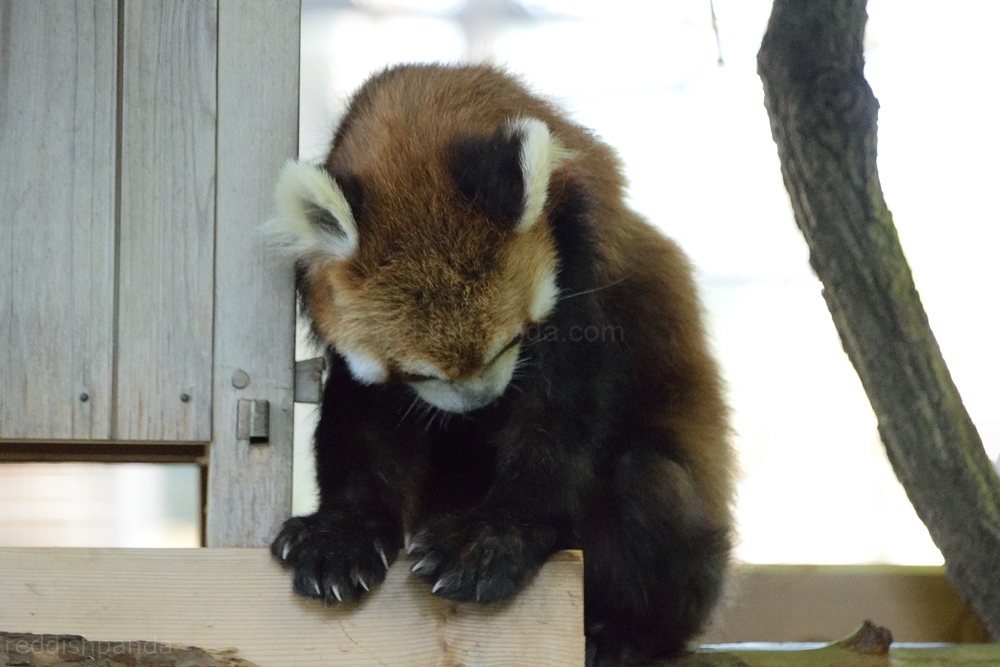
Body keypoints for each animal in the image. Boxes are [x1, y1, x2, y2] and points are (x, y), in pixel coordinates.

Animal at [270, 64, 732, 667]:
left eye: (510, 344)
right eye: (419, 373)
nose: (480, 402)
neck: (418, 118)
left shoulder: (579, 259)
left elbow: (560, 416)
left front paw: (489, 541)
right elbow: (362, 423)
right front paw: (341, 536)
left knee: (648, 482)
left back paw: (627, 634)